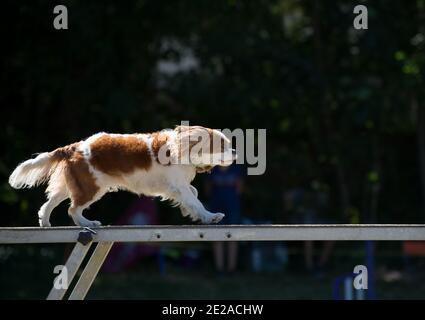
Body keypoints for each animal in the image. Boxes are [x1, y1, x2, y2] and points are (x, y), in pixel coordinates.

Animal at [8, 125, 237, 228]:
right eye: (222, 145)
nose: (235, 152)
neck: (183, 148)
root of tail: (74, 147)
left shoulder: (176, 186)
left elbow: (193, 194)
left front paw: (191, 213)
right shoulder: (178, 185)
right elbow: (195, 200)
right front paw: (210, 216)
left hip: (74, 184)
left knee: (50, 203)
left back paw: (45, 222)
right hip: (92, 187)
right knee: (73, 209)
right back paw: (88, 223)